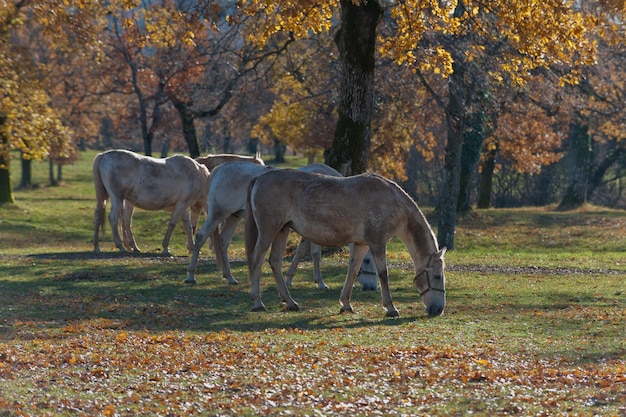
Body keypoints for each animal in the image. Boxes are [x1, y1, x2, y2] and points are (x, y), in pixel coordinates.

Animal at [183, 160, 372, 290]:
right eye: (368, 261)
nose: (370, 287)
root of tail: (220, 169)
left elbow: (302, 252)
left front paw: (290, 278)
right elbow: (315, 253)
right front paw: (320, 282)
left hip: (233, 217)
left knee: (223, 243)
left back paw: (229, 277)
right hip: (218, 214)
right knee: (201, 237)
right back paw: (191, 275)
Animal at [244, 167, 444, 316]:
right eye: (437, 276)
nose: (438, 310)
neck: (391, 201)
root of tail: (260, 178)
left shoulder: (362, 244)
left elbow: (353, 271)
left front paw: (346, 304)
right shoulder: (377, 243)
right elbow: (383, 274)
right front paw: (390, 308)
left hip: (282, 230)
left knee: (275, 262)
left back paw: (290, 302)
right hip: (269, 230)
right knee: (256, 259)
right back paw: (258, 302)